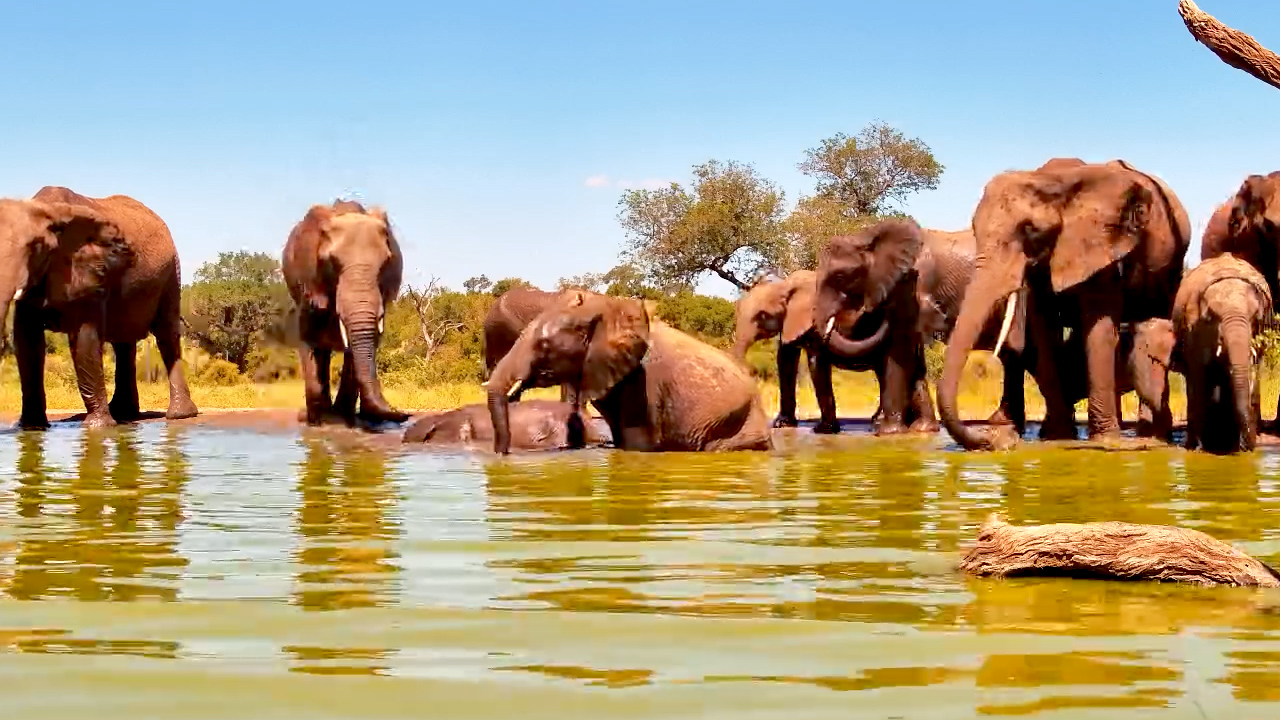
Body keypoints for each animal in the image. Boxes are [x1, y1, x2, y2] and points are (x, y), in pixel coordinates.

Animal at [0, 186, 198, 429]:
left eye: (35, 248)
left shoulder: (89, 273)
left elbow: (85, 339)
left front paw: (98, 427)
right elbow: (26, 341)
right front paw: (30, 428)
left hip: (171, 273)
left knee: (166, 335)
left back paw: (180, 415)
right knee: (123, 344)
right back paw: (124, 413)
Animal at [282, 200, 409, 427]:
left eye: (385, 262)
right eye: (332, 262)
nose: (404, 415)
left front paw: (345, 419)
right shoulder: (309, 285)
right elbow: (308, 341)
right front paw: (317, 422)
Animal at [937, 158, 1191, 450]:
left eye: (1030, 230)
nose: (997, 441)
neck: (1051, 182)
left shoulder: (1099, 244)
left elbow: (1098, 325)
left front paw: (1106, 441)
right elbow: (1044, 327)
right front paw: (1057, 436)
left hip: (1169, 267)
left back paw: (1149, 436)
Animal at [1172, 254, 1272, 453]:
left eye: (1256, 317)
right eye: (1211, 316)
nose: (1248, 447)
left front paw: (1236, 447)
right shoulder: (1194, 329)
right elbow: (1199, 375)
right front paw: (1198, 448)